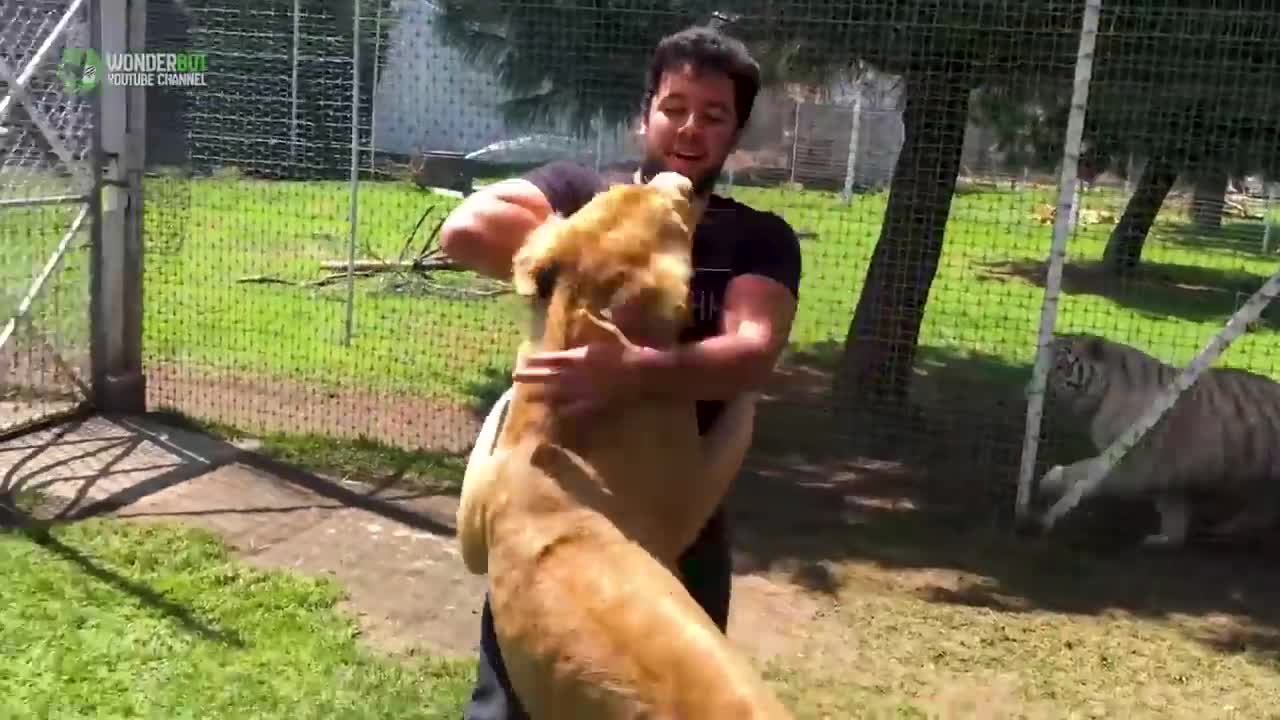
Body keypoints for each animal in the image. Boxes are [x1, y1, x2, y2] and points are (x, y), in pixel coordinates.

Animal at [1034, 330, 1280, 543]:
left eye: (1060, 366)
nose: (1035, 386)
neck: (1104, 392)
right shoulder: (1165, 472)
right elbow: (1173, 509)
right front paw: (1167, 539)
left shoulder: (1129, 464)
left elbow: (1083, 472)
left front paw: (1051, 482)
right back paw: (1228, 529)